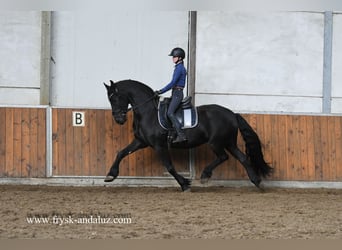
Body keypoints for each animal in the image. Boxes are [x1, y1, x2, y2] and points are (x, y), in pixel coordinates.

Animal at [104, 80, 272, 191]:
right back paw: (256, 181)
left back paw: (205, 175)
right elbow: (121, 153)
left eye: (114, 98)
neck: (148, 113)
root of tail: (232, 114)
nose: (119, 119)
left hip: (216, 142)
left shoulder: (159, 145)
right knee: (242, 158)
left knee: (223, 157)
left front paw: (184, 184)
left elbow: (169, 166)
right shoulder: (140, 142)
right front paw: (110, 175)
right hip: (229, 142)